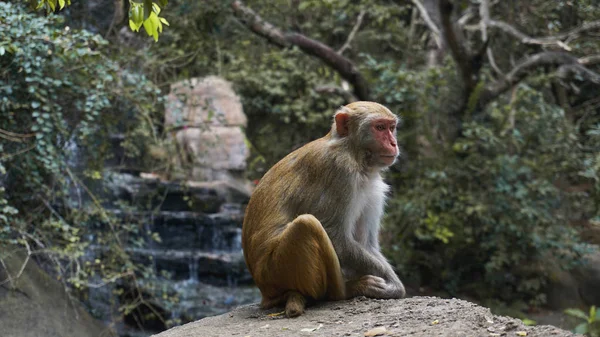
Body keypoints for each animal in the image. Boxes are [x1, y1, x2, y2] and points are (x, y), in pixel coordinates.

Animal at [241, 101, 406, 316]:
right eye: (379, 127)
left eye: (391, 127)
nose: (393, 143)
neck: (353, 153)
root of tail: (264, 292)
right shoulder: (340, 171)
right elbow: (335, 236)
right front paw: (396, 286)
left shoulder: (373, 188)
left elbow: (366, 243)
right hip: (275, 271)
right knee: (307, 224)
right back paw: (345, 291)